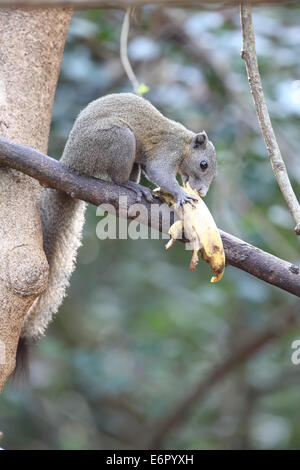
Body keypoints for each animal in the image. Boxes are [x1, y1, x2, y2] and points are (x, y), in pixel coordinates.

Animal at [19, 92, 216, 342]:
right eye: (203, 164)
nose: (202, 192)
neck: (183, 143)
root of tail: (71, 162)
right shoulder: (167, 151)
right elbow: (159, 173)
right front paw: (180, 194)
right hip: (118, 139)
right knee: (117, 178)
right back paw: (132, 186)